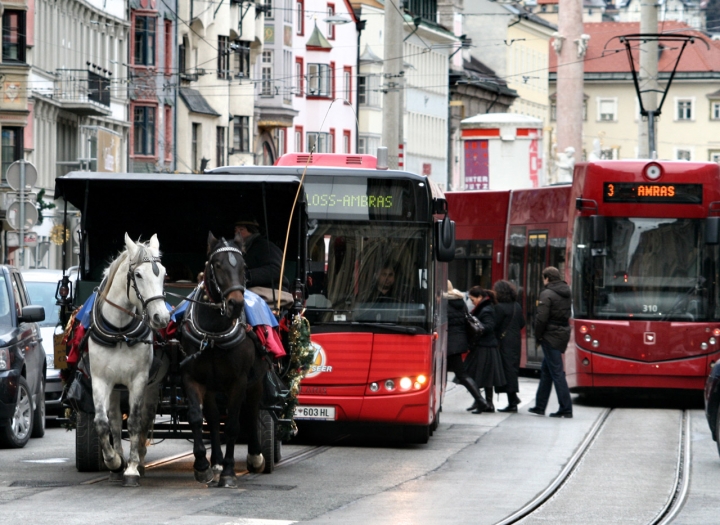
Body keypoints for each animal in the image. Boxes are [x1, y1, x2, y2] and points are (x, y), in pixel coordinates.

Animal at [88, 233, 169, 488]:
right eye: (138, 275)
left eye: (163, 273)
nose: (162, 318)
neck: (120, 332)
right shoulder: (100, 379)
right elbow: (102, 422)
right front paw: (114, 461)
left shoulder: (139, 380)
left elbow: (134, 421)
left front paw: (132, 468)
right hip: (115, 387)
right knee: (114, 420)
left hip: (153, 385)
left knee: (145, 419)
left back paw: (140, 461)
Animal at [180, 231, 270, 486]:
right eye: (217, 264)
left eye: (243, 266)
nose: (236, 304)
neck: (213, 333)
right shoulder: (192, 376)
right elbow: (197, 417)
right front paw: (203, 465)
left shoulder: (239, 381)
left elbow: (232, 425)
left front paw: (229, 472)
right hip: (212, 386)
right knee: (212, 417)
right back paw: (216, 461)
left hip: (256, 382)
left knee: (252, 412)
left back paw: (255, 456)